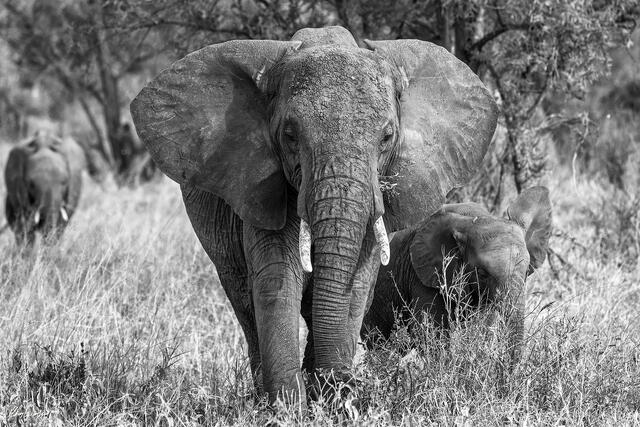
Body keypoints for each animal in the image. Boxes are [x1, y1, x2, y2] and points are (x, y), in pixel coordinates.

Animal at [130, 26, 499, 403]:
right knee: (244, 302)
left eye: (387, 137)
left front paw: (329, 399)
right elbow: (276, 281)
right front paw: (288, 407)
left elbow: (356, 286)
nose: (347, 385)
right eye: (290, 135)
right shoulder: (263, 189)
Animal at [361, 186, 552, 363]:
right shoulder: (424, 275)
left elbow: (481, 330)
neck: (475, 219)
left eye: (527, 271)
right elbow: (430, 334)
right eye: (482, 273)